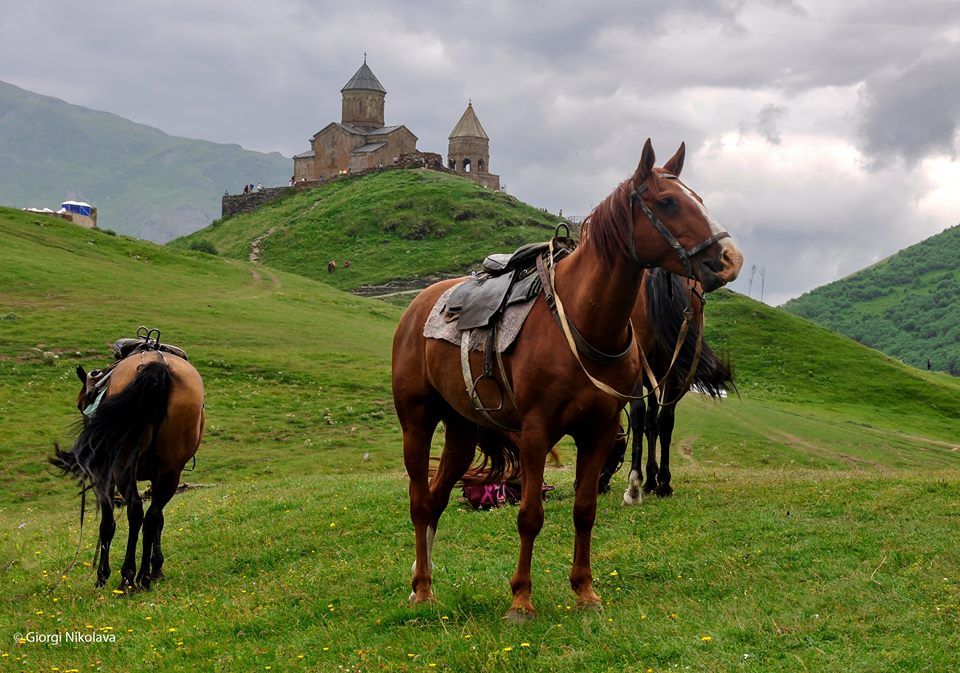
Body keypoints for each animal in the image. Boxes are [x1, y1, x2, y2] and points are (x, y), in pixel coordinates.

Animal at [51, 350, 204, 592]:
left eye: (79, 405)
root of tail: (158, 364)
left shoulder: (104, 475)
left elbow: (107, 524)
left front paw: (102, 576)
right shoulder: (158, 476)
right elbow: (159, 520)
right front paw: (157, 567)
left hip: (123, 467)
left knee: (135, 511)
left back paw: (128, 578)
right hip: (171, 471)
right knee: (152, 517)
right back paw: (144, 577)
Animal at [390, 142, 744, 620]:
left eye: (699, 200)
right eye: (669, 202)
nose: (729, 259)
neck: (583, 319)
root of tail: (419, 305)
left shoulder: (597, 432)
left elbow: (584, 509)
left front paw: (584, 590)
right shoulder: (535, 434)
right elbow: (530, 515)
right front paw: (521, 599)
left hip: (462, 429)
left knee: (437, 496)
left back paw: (420, 581)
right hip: (417, 421)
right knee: (419, 500)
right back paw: (424, 589)